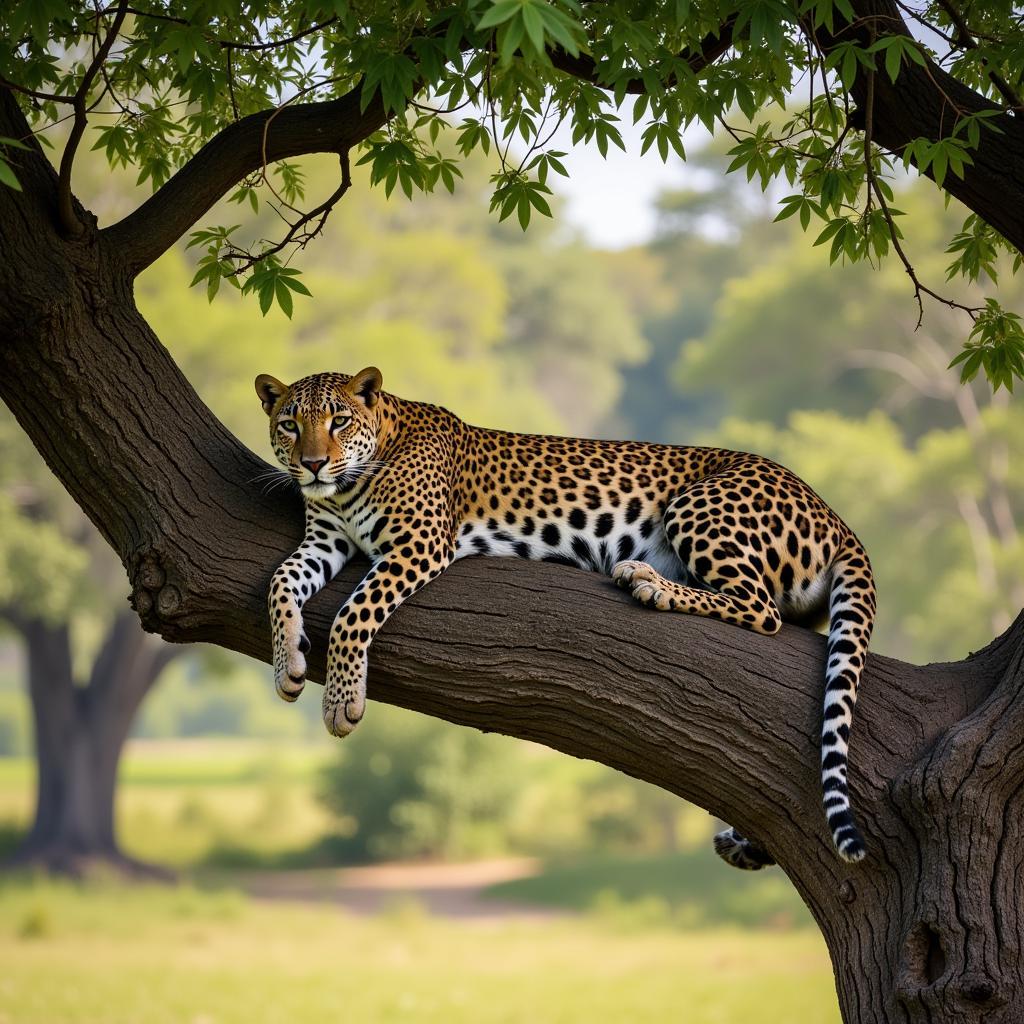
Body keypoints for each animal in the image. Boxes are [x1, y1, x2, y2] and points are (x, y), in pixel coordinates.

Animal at [260, 366, 876, 864]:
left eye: (338, 421)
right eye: (290, 424)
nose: (312, 465)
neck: (349, 485)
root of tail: (835, 515)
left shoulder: (419, 544)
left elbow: (353, 614)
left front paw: (341, 702)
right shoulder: (323, 541)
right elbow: (279, 583)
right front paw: (287, 666)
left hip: (699, 506)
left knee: (762, 608)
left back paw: (648, 582)